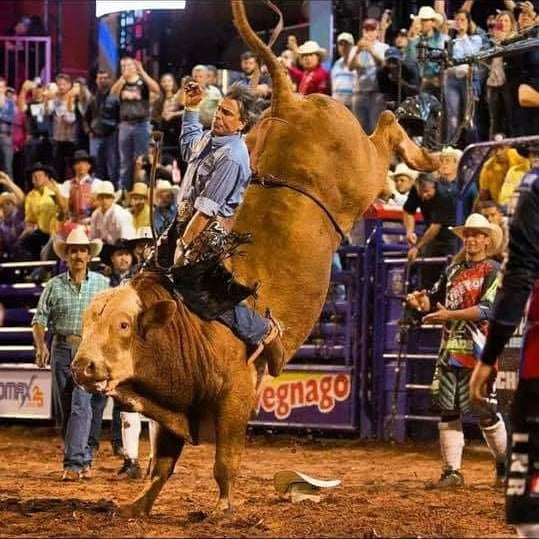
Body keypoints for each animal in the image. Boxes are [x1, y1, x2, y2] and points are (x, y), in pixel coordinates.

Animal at [71, 0, 440, 520]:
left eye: (124, 326)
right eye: (86, 322)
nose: (83, 367)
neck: (185, 320)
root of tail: (288, 103)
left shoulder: (235, 396)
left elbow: (225, 460)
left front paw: (223, 508)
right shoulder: (175, 407)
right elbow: (162, 464)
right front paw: (138, 505)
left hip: (364, 172)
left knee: (387, 122)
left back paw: (432, 154)